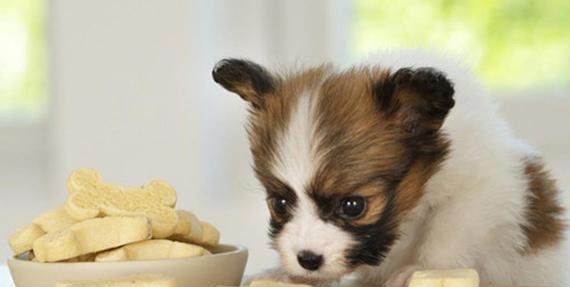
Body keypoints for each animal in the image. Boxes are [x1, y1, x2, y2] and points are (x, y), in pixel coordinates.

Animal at [211, 52, 564, 287]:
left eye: (354, 206)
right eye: (280, 204)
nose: (307, 260)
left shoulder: (481, 191)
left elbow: (447, 232)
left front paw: (422, 267)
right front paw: (285, 274)